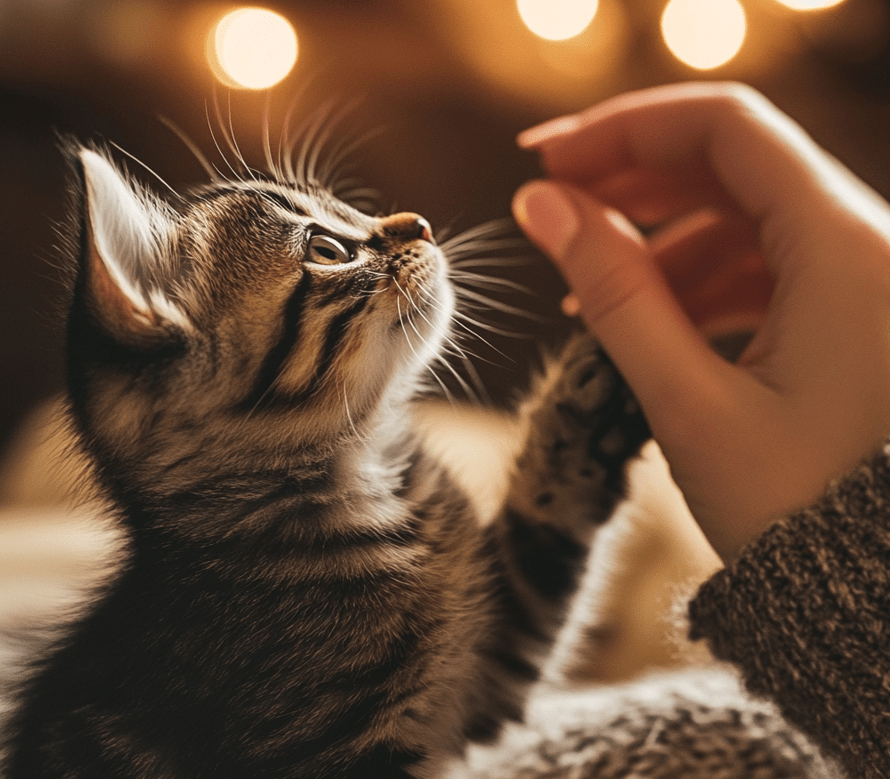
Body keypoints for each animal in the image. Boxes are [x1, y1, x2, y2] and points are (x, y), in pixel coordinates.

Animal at [3, 143, 648, 776]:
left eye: (347, 207)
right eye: (327, 250)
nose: (420, 223)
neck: (376, 476)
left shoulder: (495, 658)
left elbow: (550, 525)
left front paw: (591, 391)